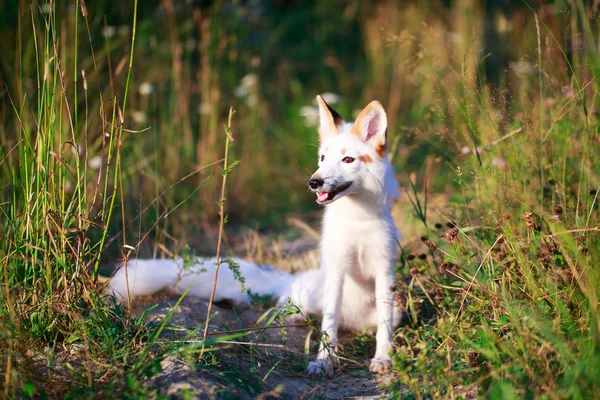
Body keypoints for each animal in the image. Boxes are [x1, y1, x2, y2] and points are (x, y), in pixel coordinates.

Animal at [108, 95, 400, 376]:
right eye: (322, 159)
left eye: (348, 160)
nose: (314, 182)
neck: (357, 221)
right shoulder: (337, 269)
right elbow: (329, 328)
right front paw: (324, 361)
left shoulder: (384, 273)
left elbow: (383, 330)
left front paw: (382, 359)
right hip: (315, 287)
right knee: (294, 303)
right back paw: (294, 315)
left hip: (397, 307)